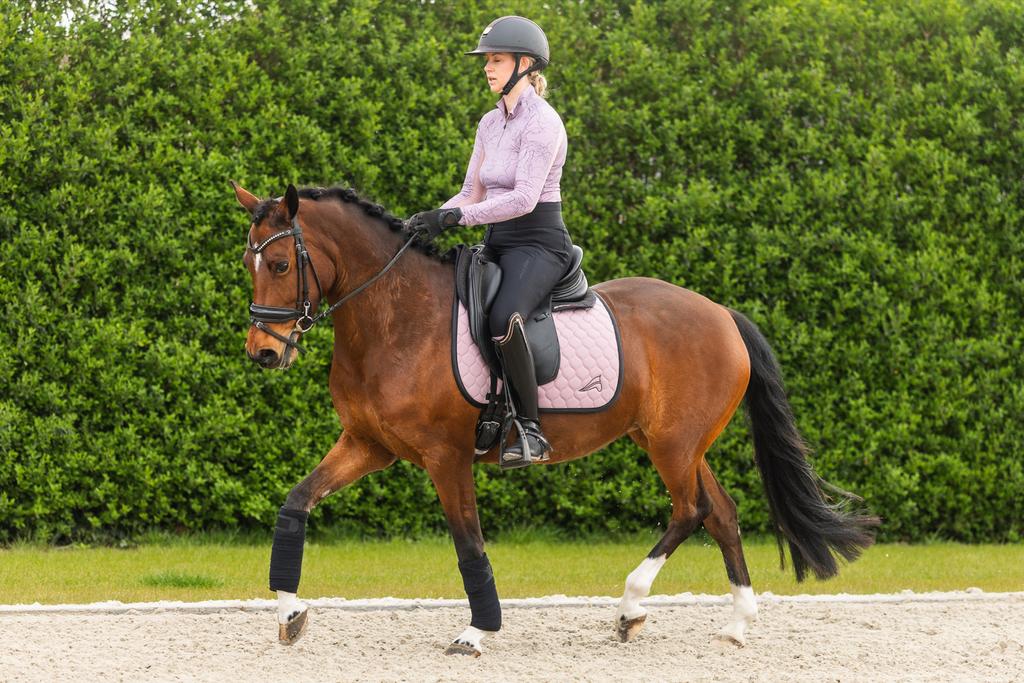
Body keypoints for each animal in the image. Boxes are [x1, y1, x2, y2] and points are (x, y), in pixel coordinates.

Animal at [233, 182, 879, 656]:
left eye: (283, 264)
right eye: (248, 262)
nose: (263, 352)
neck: (395, 319)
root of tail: (721, 313)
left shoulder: (446, 457)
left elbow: (468, 541)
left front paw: (477, 631)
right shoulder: (369, 444)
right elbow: (297, 502)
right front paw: (290, 611)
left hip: (672, 445)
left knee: (691, 510)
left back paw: (631, 606)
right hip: (678, 443)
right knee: (720, 511)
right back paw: (736, 623)